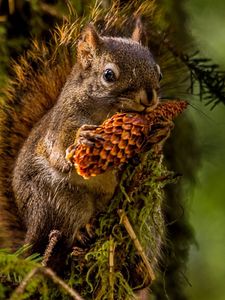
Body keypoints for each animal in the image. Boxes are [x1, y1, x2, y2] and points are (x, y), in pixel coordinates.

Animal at [0, 17, 162, 268]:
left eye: (159, 73)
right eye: (108, 75)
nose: (149, 98)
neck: (106, 113)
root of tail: (30, 229)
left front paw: (159, 134)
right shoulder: (61, 123)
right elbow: (59, 147)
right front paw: (81, 138)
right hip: (59, 199)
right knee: (67, 227)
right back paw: (81, 232)